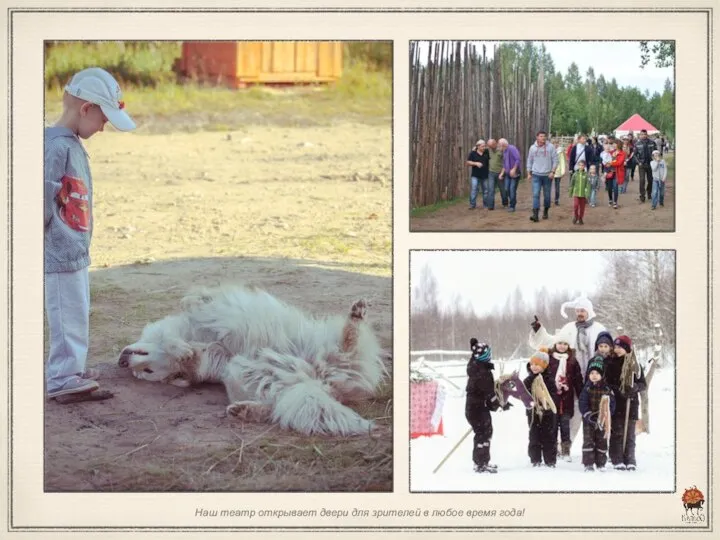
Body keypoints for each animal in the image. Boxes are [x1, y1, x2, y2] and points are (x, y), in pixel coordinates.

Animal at [118, 284, 388, 436]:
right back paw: (243, 410)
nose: (122, 362)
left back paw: (355, 318)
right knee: (275, 407)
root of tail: (321, 381)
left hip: (320, 350)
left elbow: (191, 306)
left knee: (347, 344)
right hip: (252, 378)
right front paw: (183, 354)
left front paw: (179, 347)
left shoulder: (208, 319)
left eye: (147, 371)